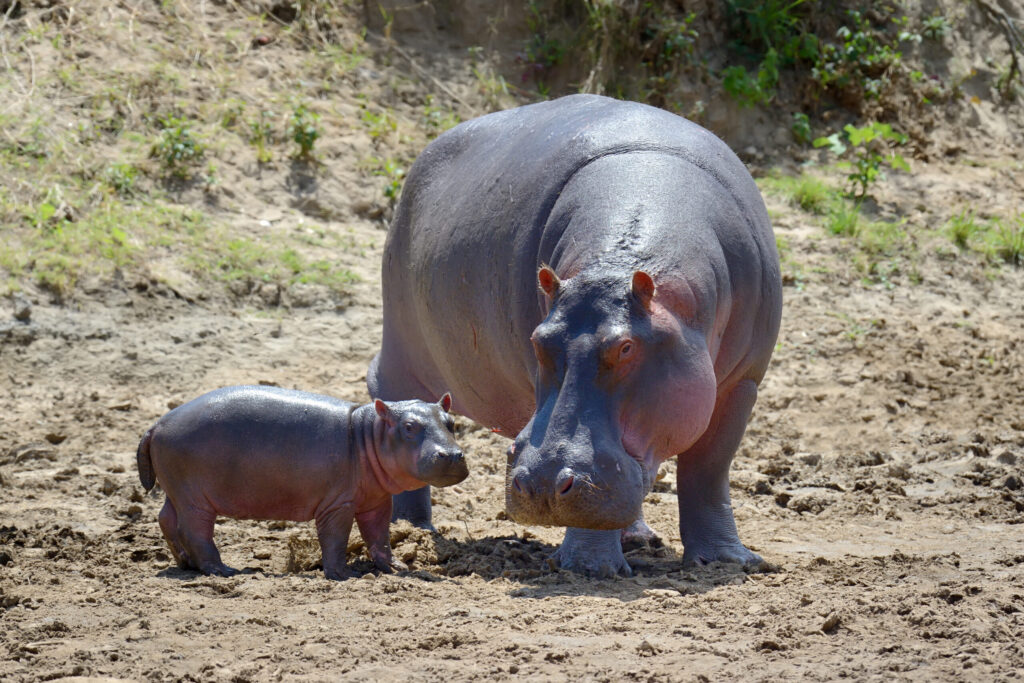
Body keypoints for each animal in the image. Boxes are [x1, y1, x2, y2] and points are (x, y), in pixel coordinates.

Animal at [137, 387, 468, 581]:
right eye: (409, 427)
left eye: (452, 423)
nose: (452, 455)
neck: (367, 433)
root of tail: (157, 424)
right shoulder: (338, 504)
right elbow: (335, 538)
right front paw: (342, 575)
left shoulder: (376, 501)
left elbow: (379, 536)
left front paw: (397, 568)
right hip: (194, 497)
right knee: (194, 530)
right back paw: (223, 570)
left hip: (176, 490)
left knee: (166, 519)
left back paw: (186, 564)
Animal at [372, 93, 778, 573]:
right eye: (538, 340)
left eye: (626, 347)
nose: (543, 485)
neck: (615, 266)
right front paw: (589, 567)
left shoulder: (742, 384)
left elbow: (709, 469)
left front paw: (729, 561)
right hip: (401, 347)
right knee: (397, 399)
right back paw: (413, 531)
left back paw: (639, 538)